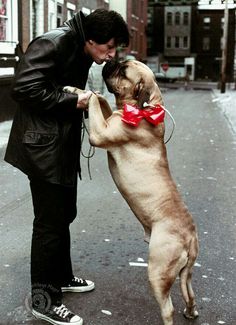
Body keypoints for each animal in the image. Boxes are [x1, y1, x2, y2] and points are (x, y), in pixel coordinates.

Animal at [64, 59, 199, 324]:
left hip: (158, 270)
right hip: (185, 273)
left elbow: (95, 102)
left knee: (168, 308)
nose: (112, 60)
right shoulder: (109, 117)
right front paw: (76, 89)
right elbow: (102, 101)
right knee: (189, 292)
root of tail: (189, 238)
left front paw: (83, 93)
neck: (144, 109)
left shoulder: (101, 133)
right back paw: (191, 311)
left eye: (124, 71)